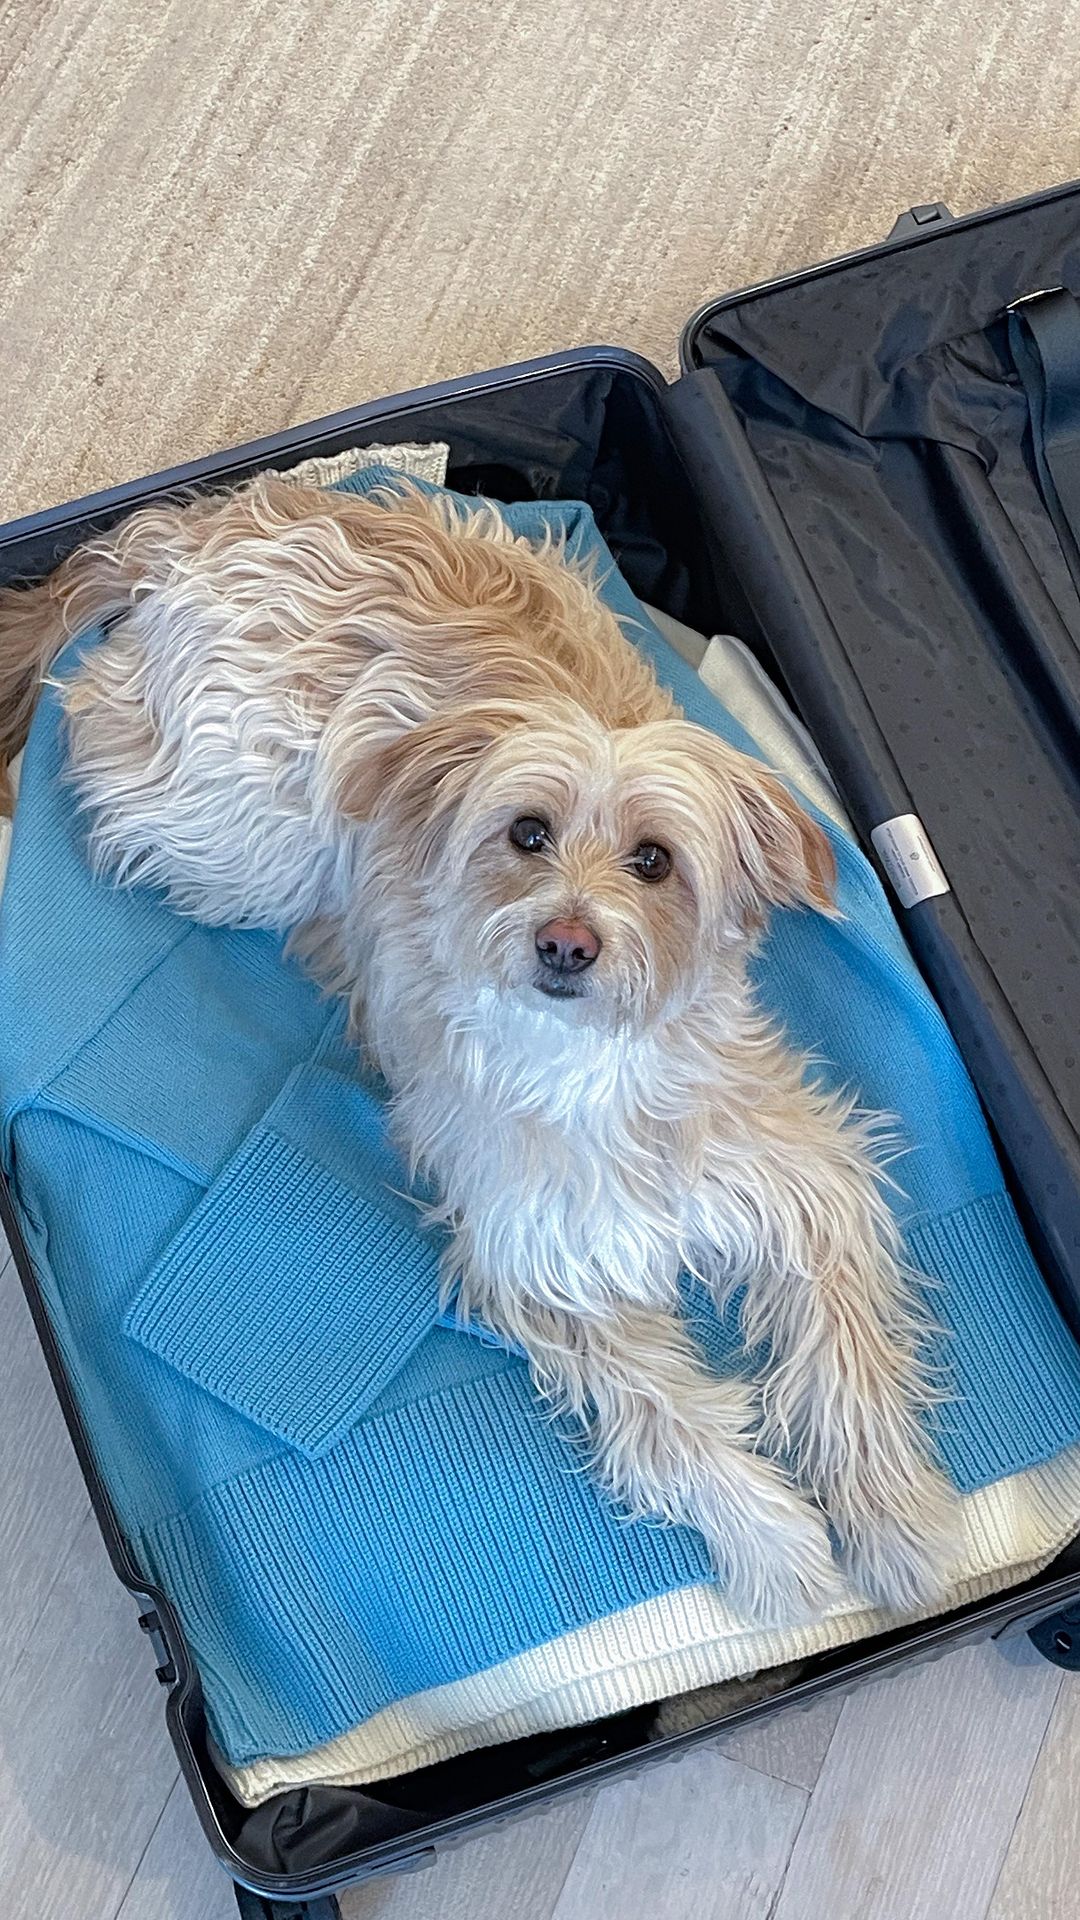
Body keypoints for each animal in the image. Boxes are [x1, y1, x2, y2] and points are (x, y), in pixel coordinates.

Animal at [0, 475, 957, 1624]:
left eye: (654, 860)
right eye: (527, 833)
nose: (567, 942)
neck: (591, 1071)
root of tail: (198, 522)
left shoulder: (807, 1195)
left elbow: (846, 1368)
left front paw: (895, 1527)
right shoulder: (545, 1276)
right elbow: (673, 1430)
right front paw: (775, 1549)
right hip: (236, 837)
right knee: (91, 714)